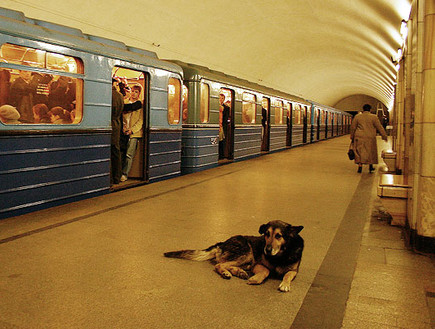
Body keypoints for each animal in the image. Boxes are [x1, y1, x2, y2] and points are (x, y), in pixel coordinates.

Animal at [164, 219, 304, 290]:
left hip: (246, 259)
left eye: (278, 236)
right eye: (266, 234)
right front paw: (256, 278)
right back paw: (227, 273)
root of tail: (221, 243)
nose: (267, 250)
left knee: (228, 264)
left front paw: (285, 284)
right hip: (246, 252)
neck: (281, 254)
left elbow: (287, 275)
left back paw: (239, 272)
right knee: (219, 265)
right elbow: (266, 271)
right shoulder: (257, 264)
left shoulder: (294, 271)